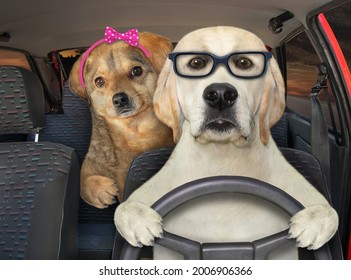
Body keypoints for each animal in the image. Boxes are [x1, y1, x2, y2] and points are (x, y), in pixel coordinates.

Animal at [69, 31, 174, 209]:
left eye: (136, 71)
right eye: (99, 81)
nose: (119, 99)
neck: (135, 131)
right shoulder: (91, 162)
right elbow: (82, 185)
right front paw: (101, 190)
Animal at [115, 25, 338, 260]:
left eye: (244, 63)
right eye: (196, 63)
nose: (220, 94)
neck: (222, 160)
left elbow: (330, 211)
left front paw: (313, 223)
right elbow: (123, 208)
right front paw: (139, 221)